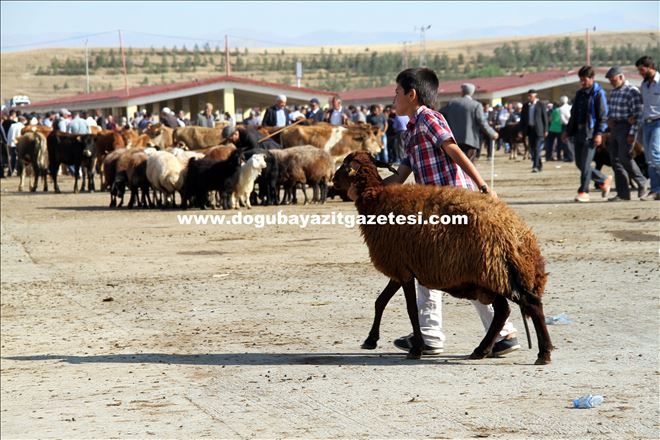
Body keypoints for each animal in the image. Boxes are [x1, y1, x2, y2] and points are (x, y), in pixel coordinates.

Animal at [332, 151, 556, 364]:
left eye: (344, 165)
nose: (332, 179)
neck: (376, 199)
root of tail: (519, 236)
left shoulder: (402, 270)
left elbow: (411, 309)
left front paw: (416, 349)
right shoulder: (401, 267)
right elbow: (380, 301)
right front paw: (371, 340)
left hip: (496, 271)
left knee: (530, 303)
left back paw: (543, 353)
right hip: (492, 275)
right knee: (504, 311)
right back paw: (481, 351)